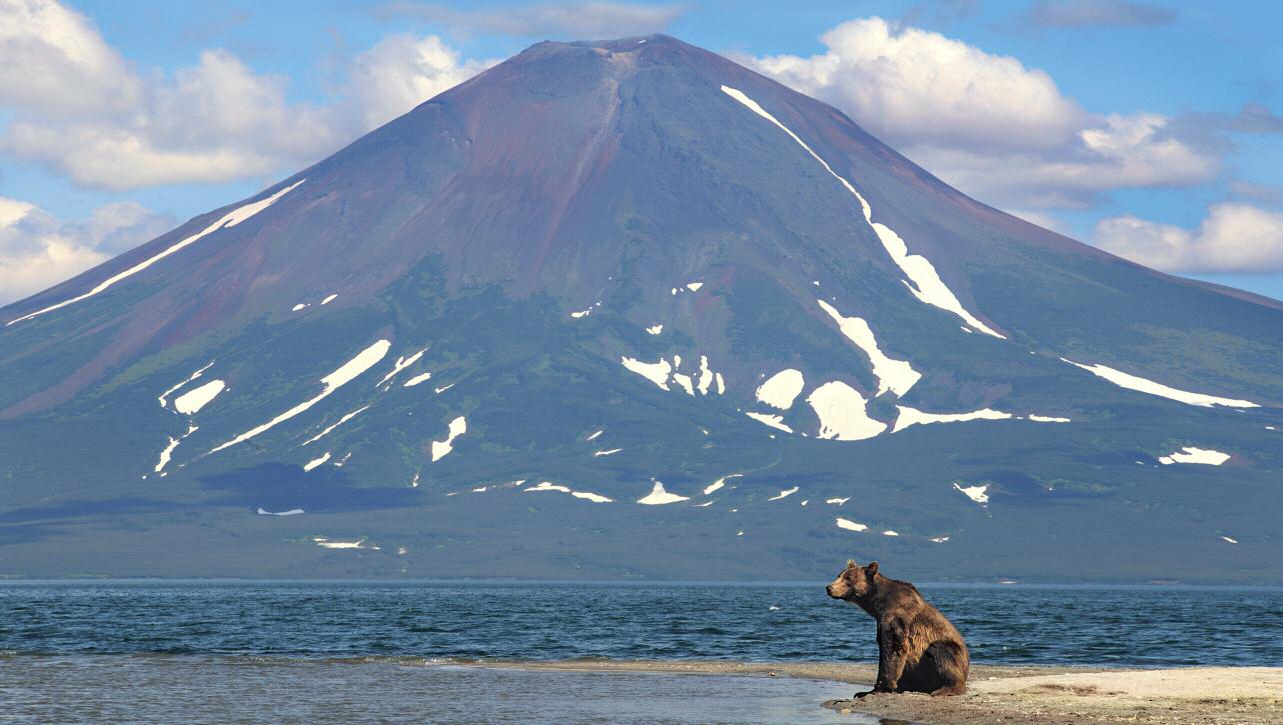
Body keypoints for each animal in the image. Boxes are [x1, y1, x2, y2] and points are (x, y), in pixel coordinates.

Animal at [826, 559, 964, 692]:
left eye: (848, 578)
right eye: (839, 575)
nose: (829, 588)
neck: (877, 604)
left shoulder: (897, 615)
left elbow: (893, 646)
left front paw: (882, 687)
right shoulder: (880, 620)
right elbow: (883, 649)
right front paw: (870, 689)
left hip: (951, 653)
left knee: (939, 650)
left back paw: (945, 688)